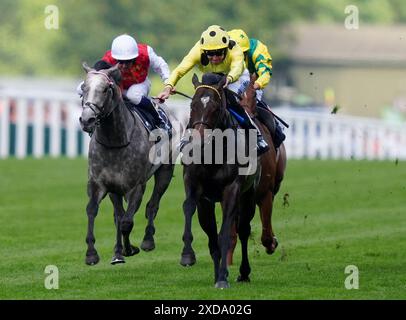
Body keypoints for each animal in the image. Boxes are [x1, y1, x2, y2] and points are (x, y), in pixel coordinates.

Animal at [79, 63, 189, 264]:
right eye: (84, 88)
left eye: (105, 89)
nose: (87, 119)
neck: (115, 142)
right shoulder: (101, 184)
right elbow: (95, 211)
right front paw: (93, 253)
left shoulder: (136, 187)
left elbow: (127, 222)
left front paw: (130, 249)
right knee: (119, 214)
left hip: (165, 171)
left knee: (152, 205)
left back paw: (147, 240)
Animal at [180, 72, 260, 288]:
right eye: (192, 105)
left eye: (215, 107)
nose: (198, 141)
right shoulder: (198, 191)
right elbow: (193, 213)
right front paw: (188, 256)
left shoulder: (231, 189)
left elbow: (225, 234)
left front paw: (223, 277)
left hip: (249, 194)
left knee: (243, 230)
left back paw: (244, 272)